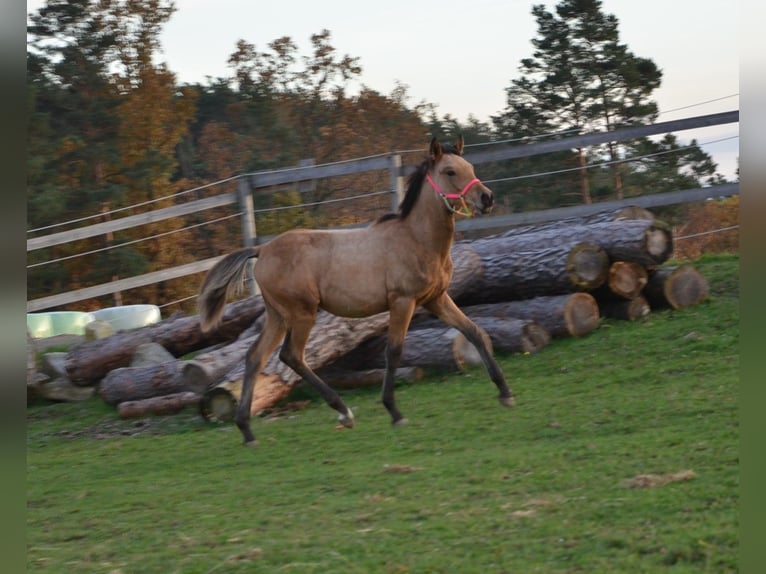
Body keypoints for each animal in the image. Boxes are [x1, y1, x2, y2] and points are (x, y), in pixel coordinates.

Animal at [198, 136, 512, 446]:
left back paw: (247, 430)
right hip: (301, 313)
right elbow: (393, 351)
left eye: (470, 168)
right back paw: (343, 412)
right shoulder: (403, 301)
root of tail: (261, 250)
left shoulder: (436, 299)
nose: (487, 198)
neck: (416, 239)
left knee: (255, 357)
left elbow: (474, 331)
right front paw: (394, 412)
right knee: (292, 356)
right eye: (450, 172)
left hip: (278, 315)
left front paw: (505, 393)